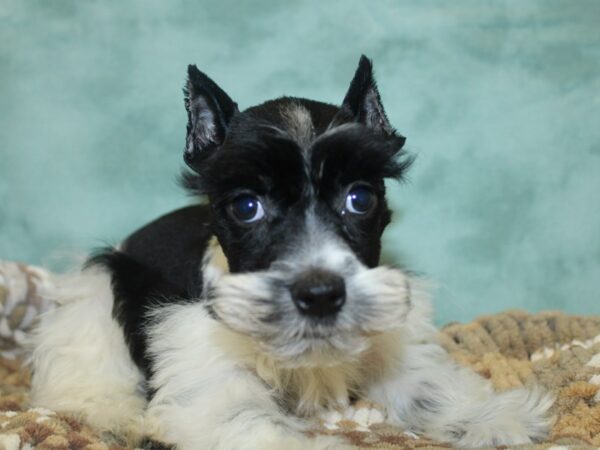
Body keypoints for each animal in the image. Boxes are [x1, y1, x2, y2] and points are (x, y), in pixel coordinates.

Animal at [29, 56, 552, 450]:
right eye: (246, 206)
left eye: (360, 198)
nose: (320, 295)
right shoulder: (210, 378)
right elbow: (250, 419)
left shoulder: (391, 344)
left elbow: (428, 385)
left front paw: (493, 416)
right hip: (97, 289)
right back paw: (113, 415)